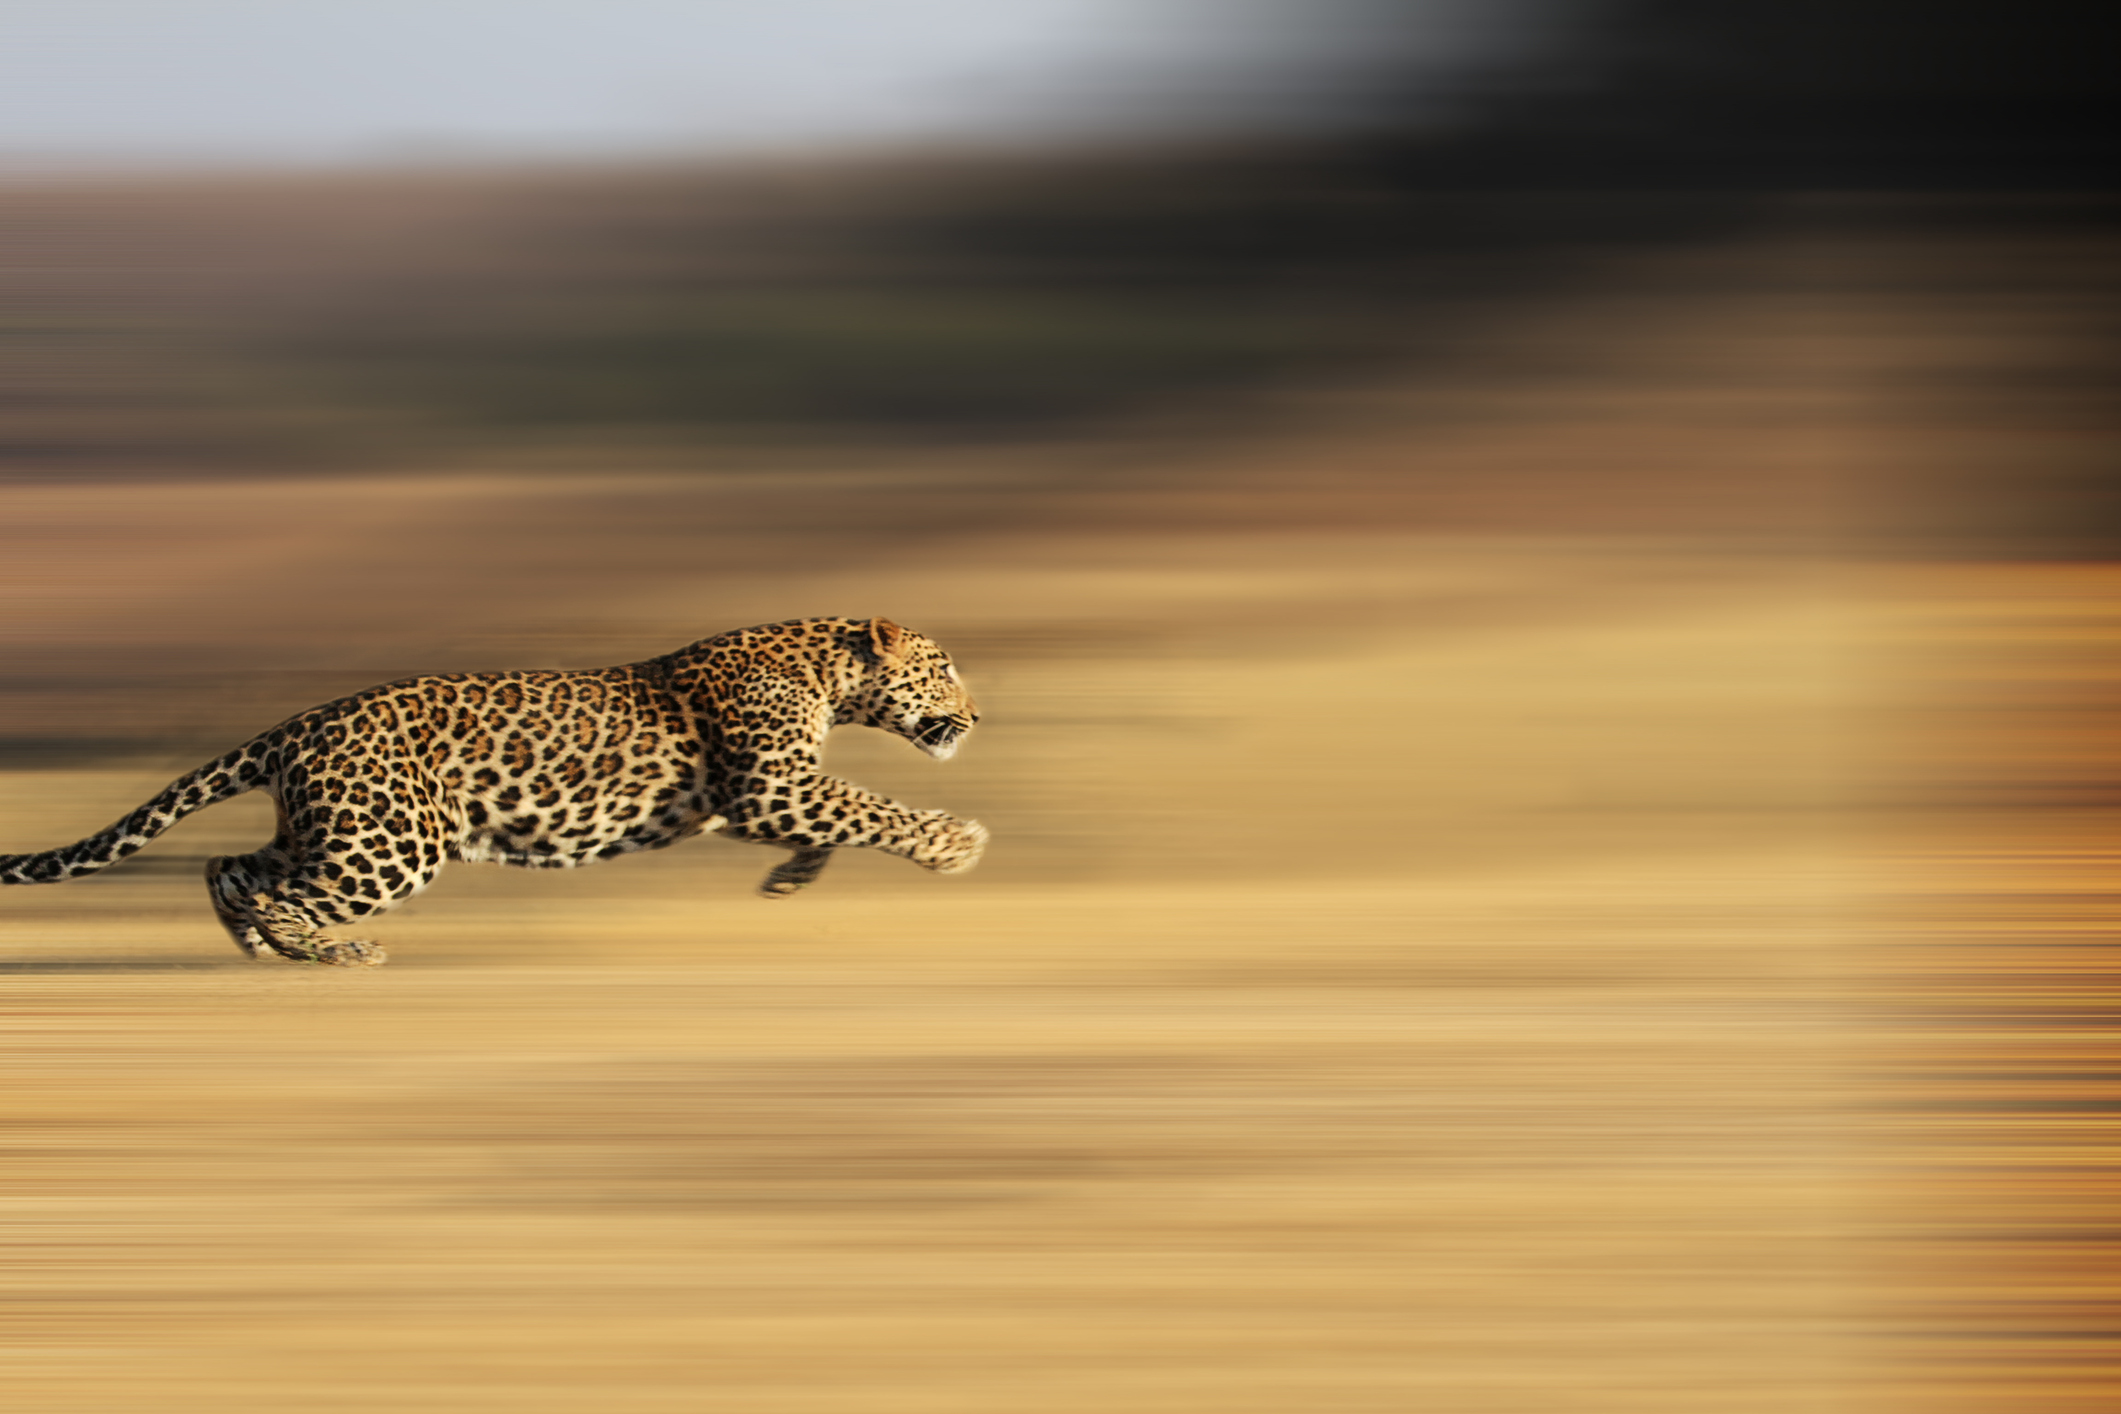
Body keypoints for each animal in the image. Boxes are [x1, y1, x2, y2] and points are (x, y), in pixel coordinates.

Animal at [0, 617, 986, 966]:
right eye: (941, 668)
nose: (975, 715)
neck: (826, 670)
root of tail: (297, 726)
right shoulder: (773, 783)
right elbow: (869, 808)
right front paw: (956, 844)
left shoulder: (760, 796)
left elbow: (838, 820)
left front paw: (789, 879)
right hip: (390, 844)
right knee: (278, 887)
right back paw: (330, 952)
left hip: (338, 829)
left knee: (229, 867)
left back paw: (261, 947)